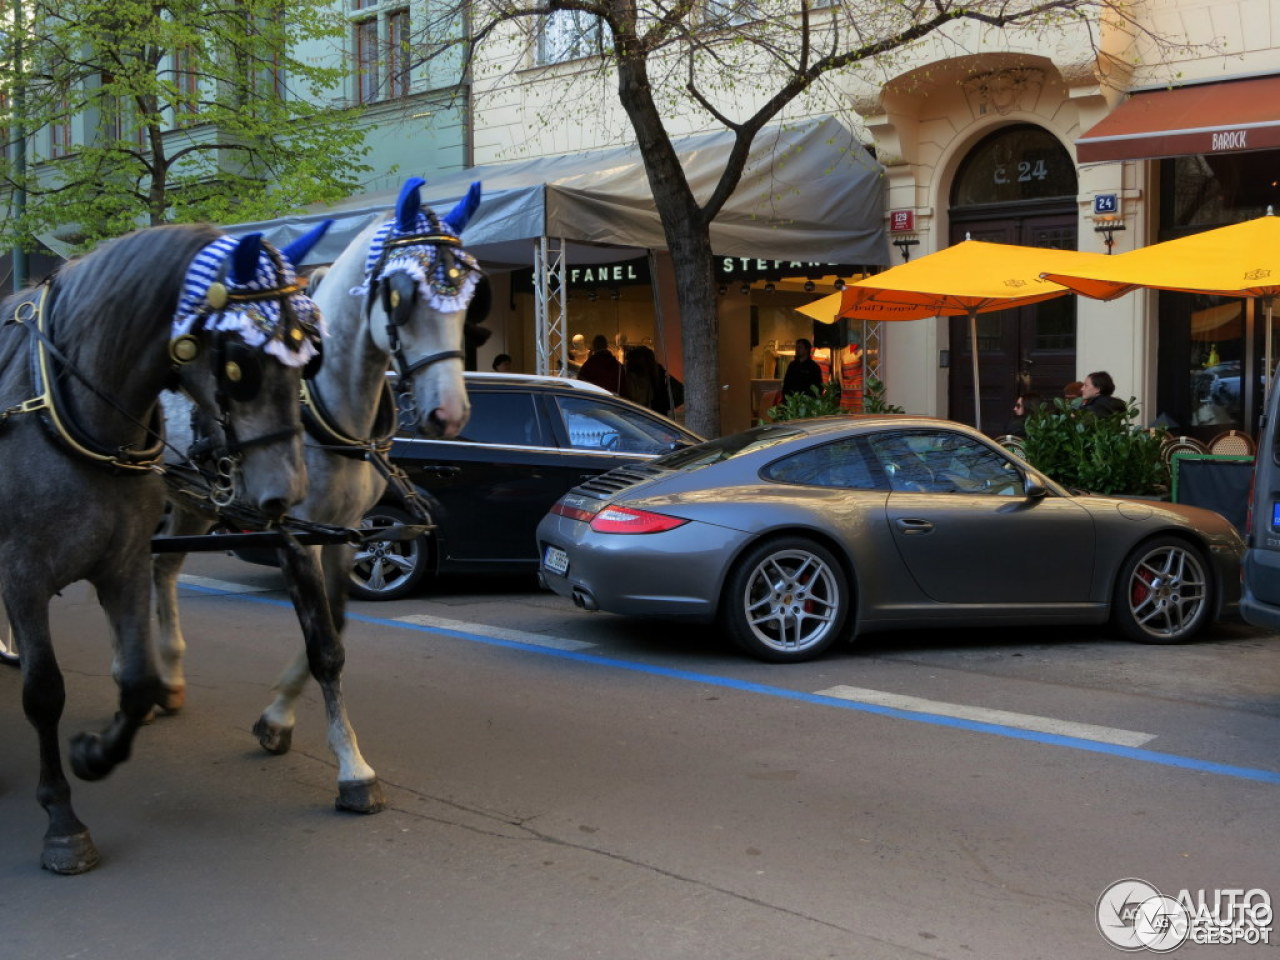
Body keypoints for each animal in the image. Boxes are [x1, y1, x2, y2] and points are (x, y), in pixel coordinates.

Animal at [2, 221, 330, 875]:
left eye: (309, 355)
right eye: (239, 365)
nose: (287, 493)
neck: (70, 415)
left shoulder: (125, 563)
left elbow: (137, 681)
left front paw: (95, 754)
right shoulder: (22, 575)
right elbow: (43, 692)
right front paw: (62, 821)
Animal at [153, 179, 483, 819]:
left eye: (471, 296)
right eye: (401, 294)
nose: (448, 414)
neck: (325, 412)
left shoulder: (344, 534)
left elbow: (337, 627)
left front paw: (277, 719)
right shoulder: (294, 537)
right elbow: (326, 647)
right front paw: (353, 770)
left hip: (190, 497)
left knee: (159, 571)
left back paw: (166, 677)